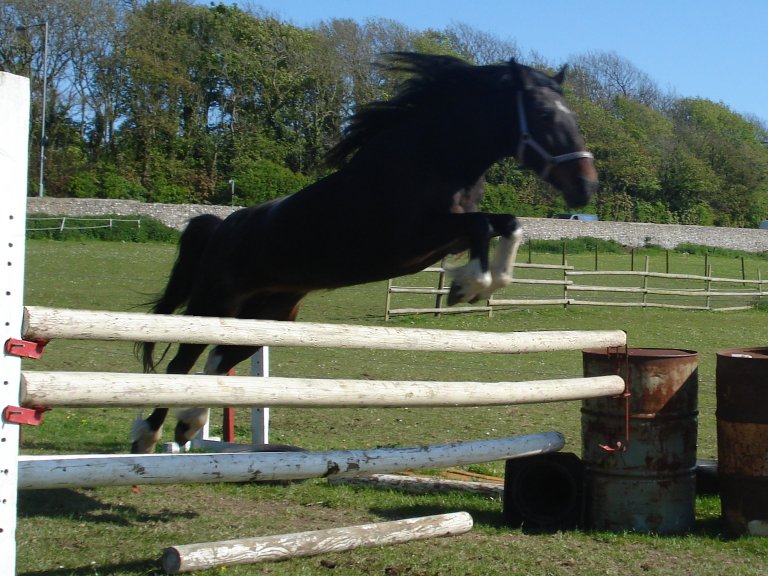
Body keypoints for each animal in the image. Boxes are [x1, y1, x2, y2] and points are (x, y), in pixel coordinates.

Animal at [132, 52, 598, 454]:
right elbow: (484, 226)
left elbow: (508, 224)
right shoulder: (414, 239)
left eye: (573, 117)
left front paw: (476, 285)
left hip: (269, 316)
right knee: (180, 365)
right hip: (216, 303)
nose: (586, 186)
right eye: (543, 116)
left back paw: (189, 422)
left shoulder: (445, 238)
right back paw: (147, 436)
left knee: (217, 358)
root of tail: (220, 227)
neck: (433, 157)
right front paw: (468, 287)